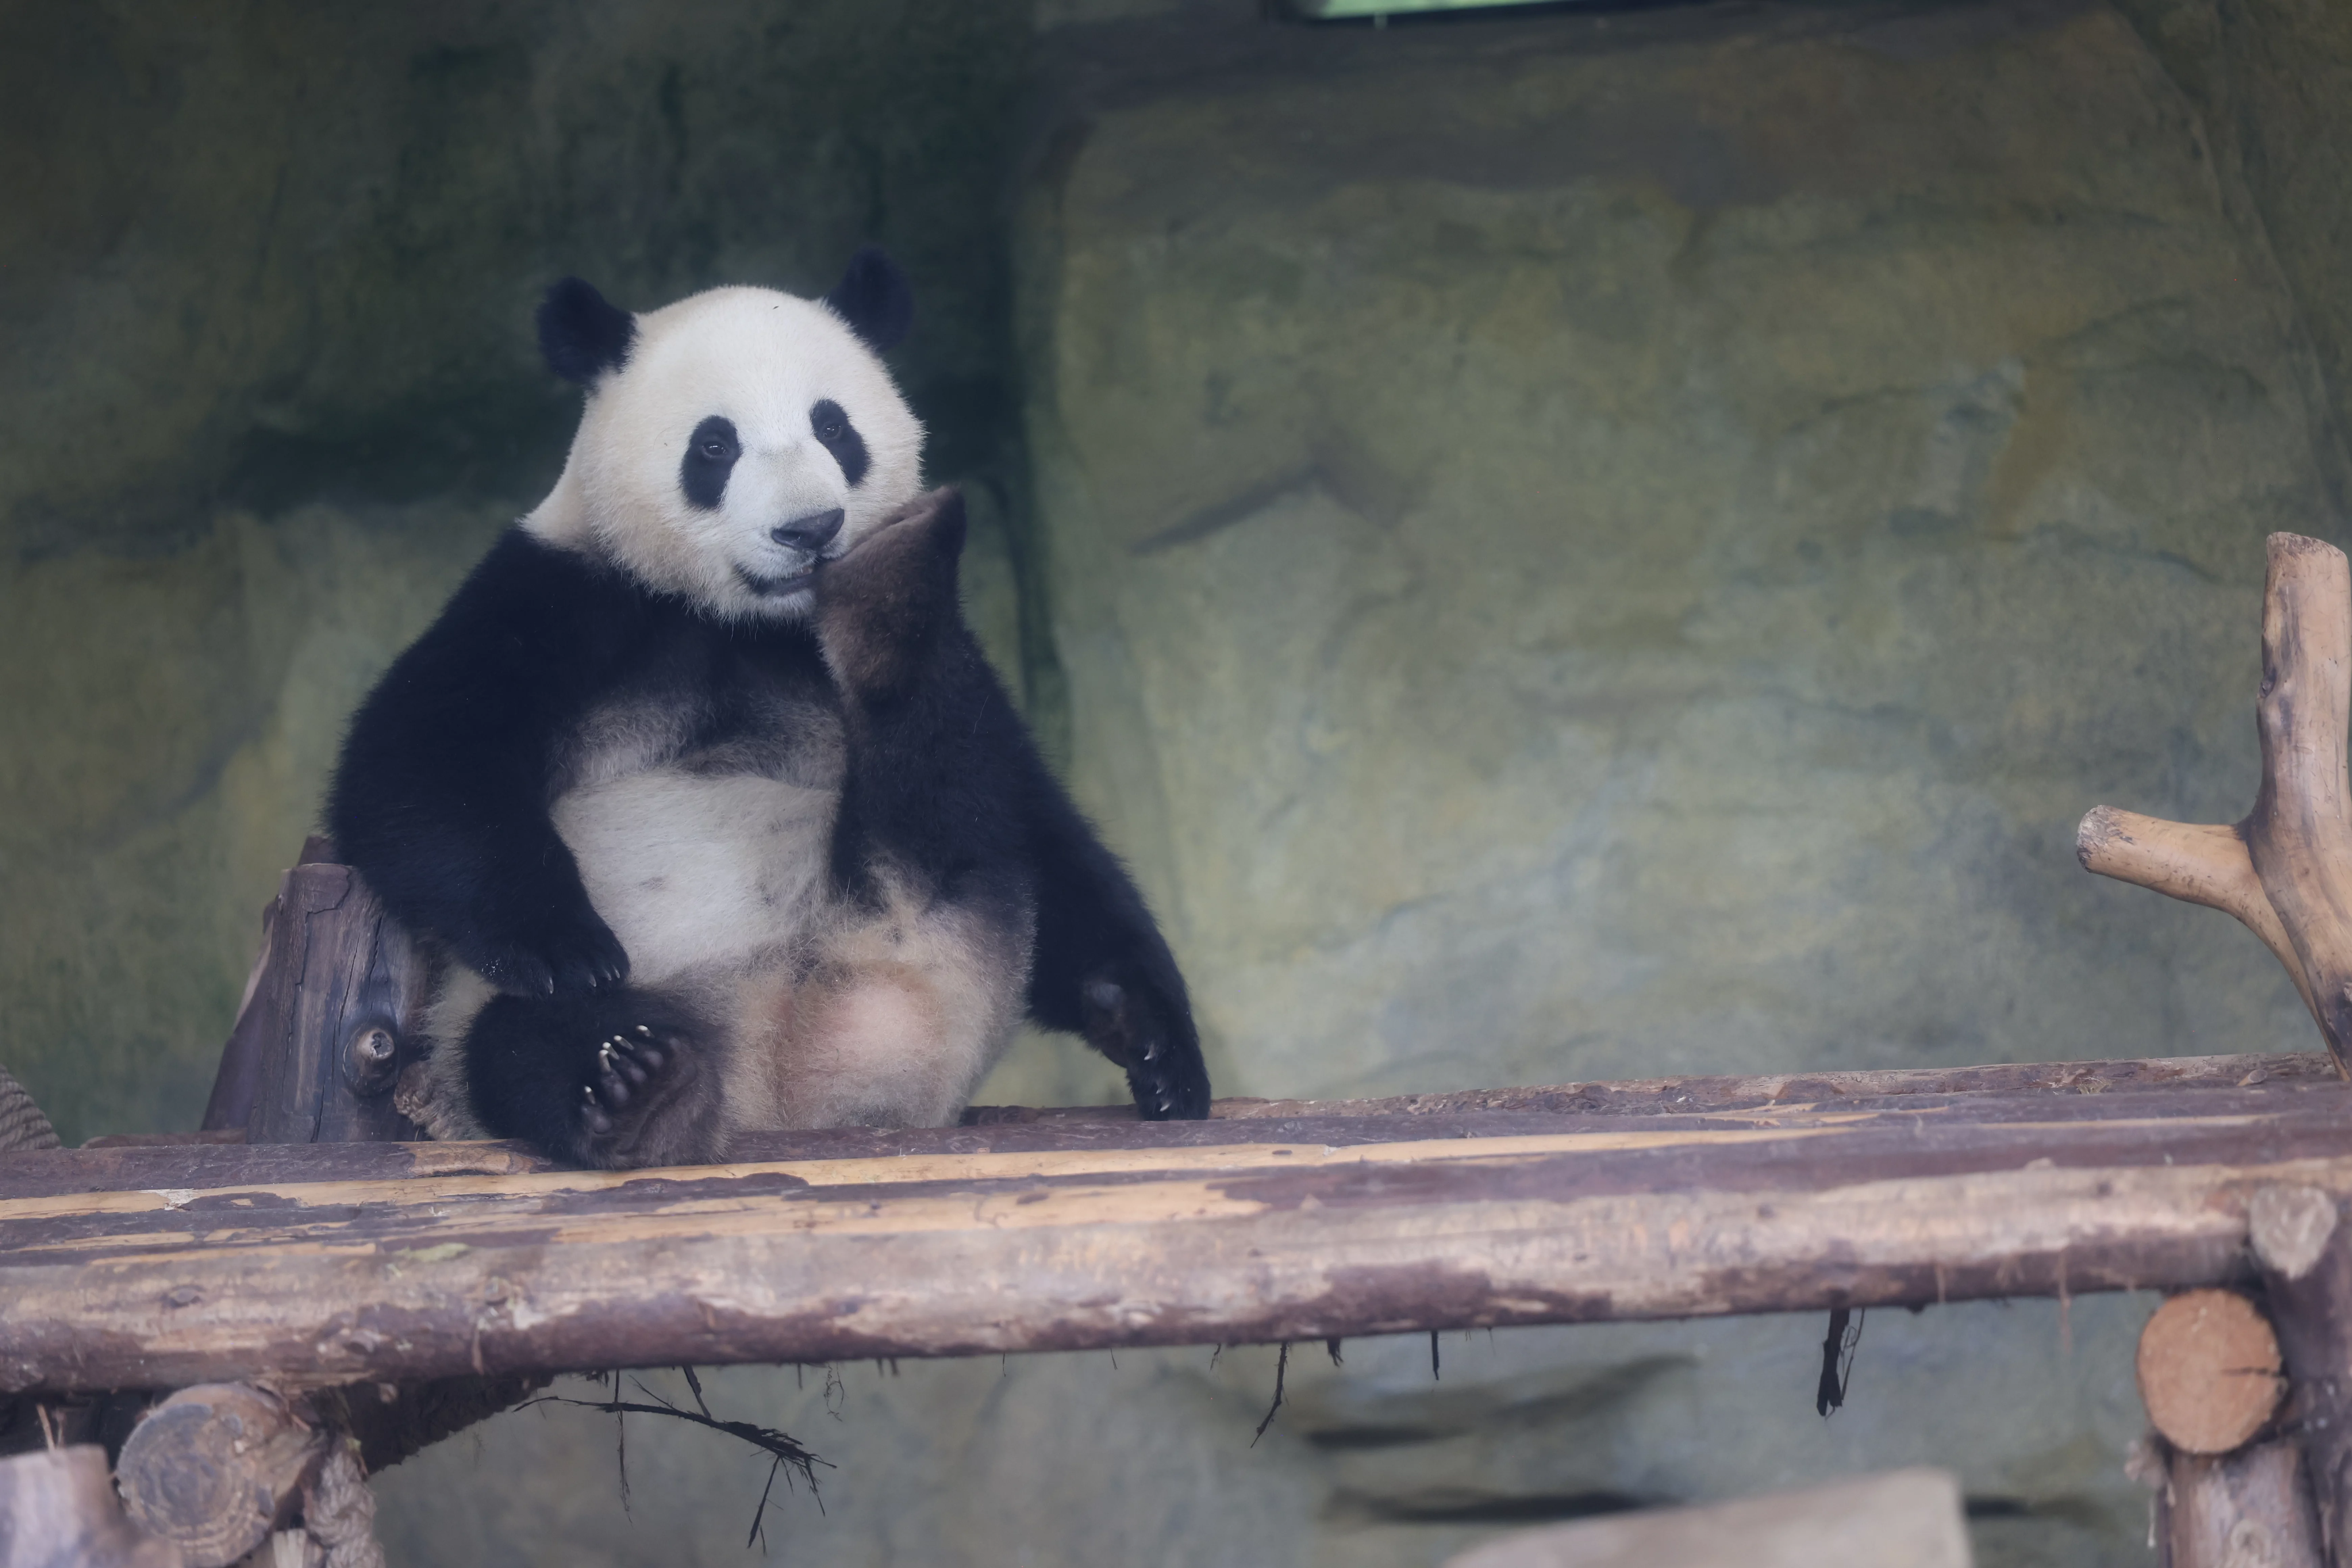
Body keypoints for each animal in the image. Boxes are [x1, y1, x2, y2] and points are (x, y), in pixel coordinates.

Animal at [327, 248, 1210, 1169]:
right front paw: (563, 943)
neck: (745, 620)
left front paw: (1151, 1038)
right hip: (525, 1020)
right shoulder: (564, 595)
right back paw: (642, 1087)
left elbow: (1049, 822)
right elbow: (419, 762)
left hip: (966, 943)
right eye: (714, 445)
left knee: (957, 779)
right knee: (523, 1042)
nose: (811, 530)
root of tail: (787, 1088)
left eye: (835, 428)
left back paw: (896, 592)